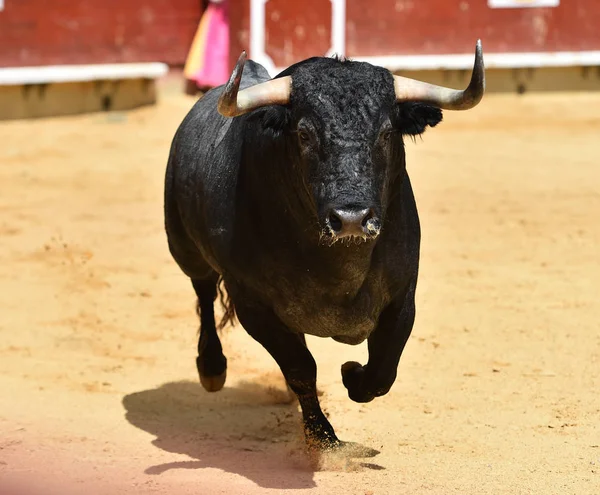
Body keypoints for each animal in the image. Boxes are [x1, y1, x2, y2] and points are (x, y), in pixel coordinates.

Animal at [165, 43, 488, 454]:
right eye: (304, 133)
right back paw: (211, 368)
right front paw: (325, 440)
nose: (351, 217)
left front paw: (351, 374)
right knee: (204, 292)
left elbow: (383, 369)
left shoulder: (403, 295)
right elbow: (301, 369)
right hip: (184, 248)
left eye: (386, 132)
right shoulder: (253, 303)